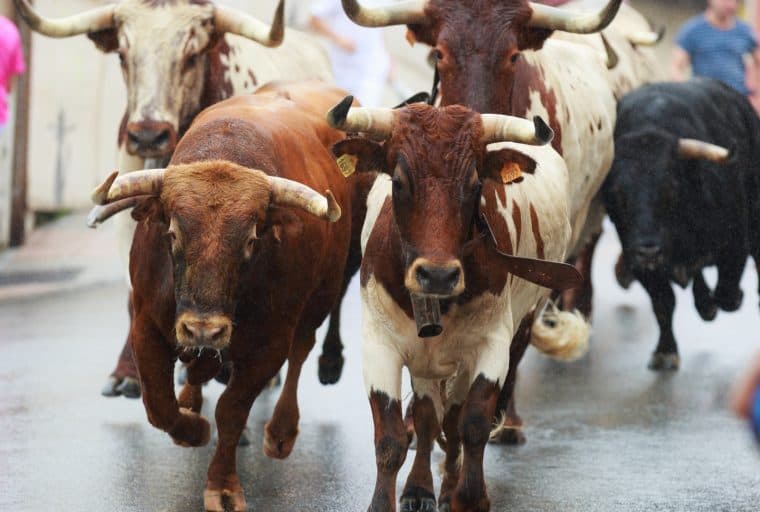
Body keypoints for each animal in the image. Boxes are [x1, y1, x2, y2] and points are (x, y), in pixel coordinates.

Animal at [86, 82, 353, 511]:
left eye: (251, 240)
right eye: (172, 232)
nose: (203, 330)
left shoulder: (268, 346)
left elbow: (232, 411)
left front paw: (223, 487)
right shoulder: (146, 325)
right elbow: (159, 406)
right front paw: (192, 428)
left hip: (319, 301)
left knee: (301, 351)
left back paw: (281, 431)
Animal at [326, 98, 586, 512]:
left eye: (476, 184)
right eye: (398, 182)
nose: (437, 275)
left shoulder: (490, 344)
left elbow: (473, 423)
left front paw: (469, 496)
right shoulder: (380, 346)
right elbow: (392, 437)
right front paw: (393, 498)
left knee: (452, 417)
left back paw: (447, 486)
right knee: (429, 416)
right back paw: (420, 487)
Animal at [602, 78, 760, 371]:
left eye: (670, 189)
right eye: (617, 194)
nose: (649, 250)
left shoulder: (735, 246)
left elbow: (727, 294)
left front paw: (722, 302)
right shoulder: (640, 264)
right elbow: (664, 304)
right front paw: (665, 350)